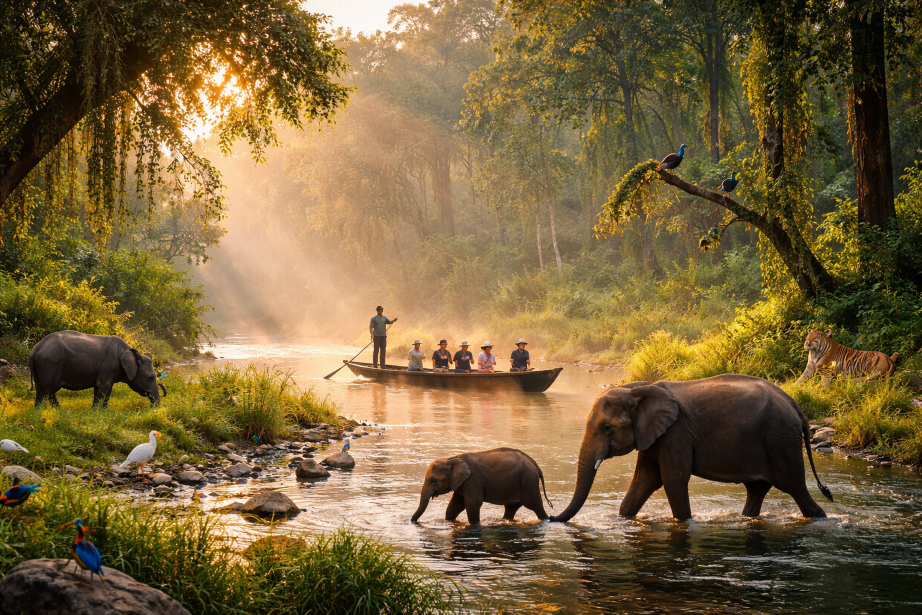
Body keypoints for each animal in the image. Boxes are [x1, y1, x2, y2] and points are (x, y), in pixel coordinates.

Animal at [29, 330, 166, 407]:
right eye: (150, 378)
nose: (155, 407)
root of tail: (35, 350)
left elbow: (104, 389)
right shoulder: (109, 366)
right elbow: (104, 387)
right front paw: (96, 412)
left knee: (43, 389)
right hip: (50, 364)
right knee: (46, 390)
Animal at [411, 447, 552, 525]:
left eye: (434, 481)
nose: (413, 521)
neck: (452, 459)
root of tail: (535, 464)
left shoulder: (472, 480)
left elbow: (472, 504)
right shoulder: (462, 483)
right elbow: (454, 506)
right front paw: (449, 521)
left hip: (528, 482)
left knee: (536, 507)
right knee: (511, 508)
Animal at [551, 374, 833, 522]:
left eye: (607, 428)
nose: (550, 516)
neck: (637, 389)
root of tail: (795, 405)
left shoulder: (676, 434)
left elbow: (672, 480)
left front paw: (684, 522)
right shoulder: (654, 437)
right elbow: (644, 480)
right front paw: (624, 519)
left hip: (780, 439)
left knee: (794, 486)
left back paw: (821, 518)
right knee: (757, 489)